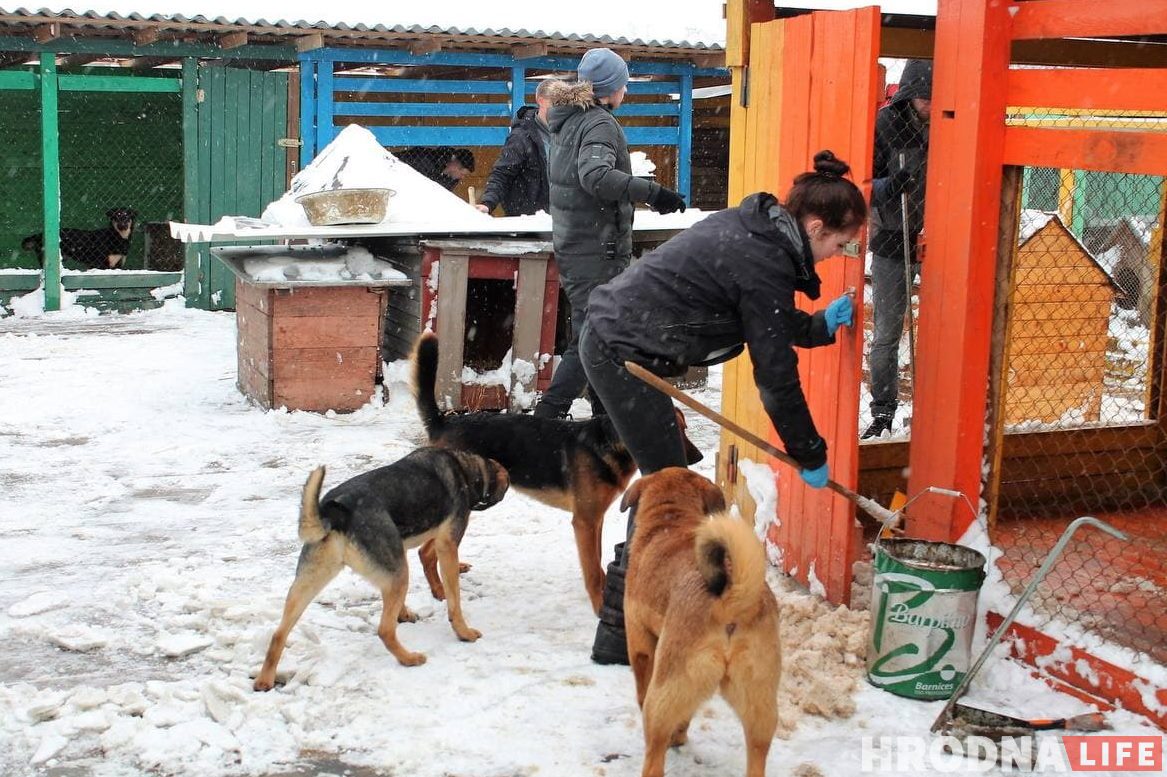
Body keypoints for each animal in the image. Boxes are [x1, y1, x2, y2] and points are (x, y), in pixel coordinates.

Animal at [253, 441, 508, 690]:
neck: (466, 468)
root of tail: (336, 513)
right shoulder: (447, 546)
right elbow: (454, 601)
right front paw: (463, 632)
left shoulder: (400, 550)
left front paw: (403, 613)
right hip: (398, 576)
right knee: (384, 630)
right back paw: (409, 658)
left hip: (307, 583)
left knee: (278, 634)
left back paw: (264, 681)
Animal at [625, 466, 779, 774]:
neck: (670, 519)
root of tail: (731, 600)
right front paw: (680, 735)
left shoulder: (640, 641)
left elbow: (640, 685)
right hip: (760, 703)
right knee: (757, 754)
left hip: (666, 690)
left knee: (654, 753)